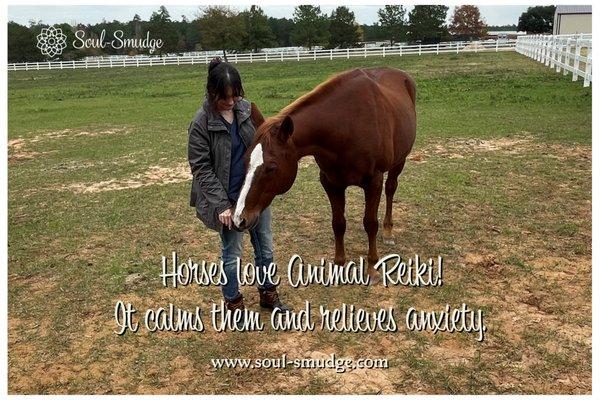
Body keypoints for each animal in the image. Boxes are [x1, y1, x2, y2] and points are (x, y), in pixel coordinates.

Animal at [232, 66, 414, 278]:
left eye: (271, 167)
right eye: (245, 159)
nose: (239, 218)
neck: (346, 126)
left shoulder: (373, 182)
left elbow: (370, 223)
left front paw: (371, 267)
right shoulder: (331, 183)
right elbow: (338, 223)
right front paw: (339, 264)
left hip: (399, 162)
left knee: (391, 189)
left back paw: (388, 232)